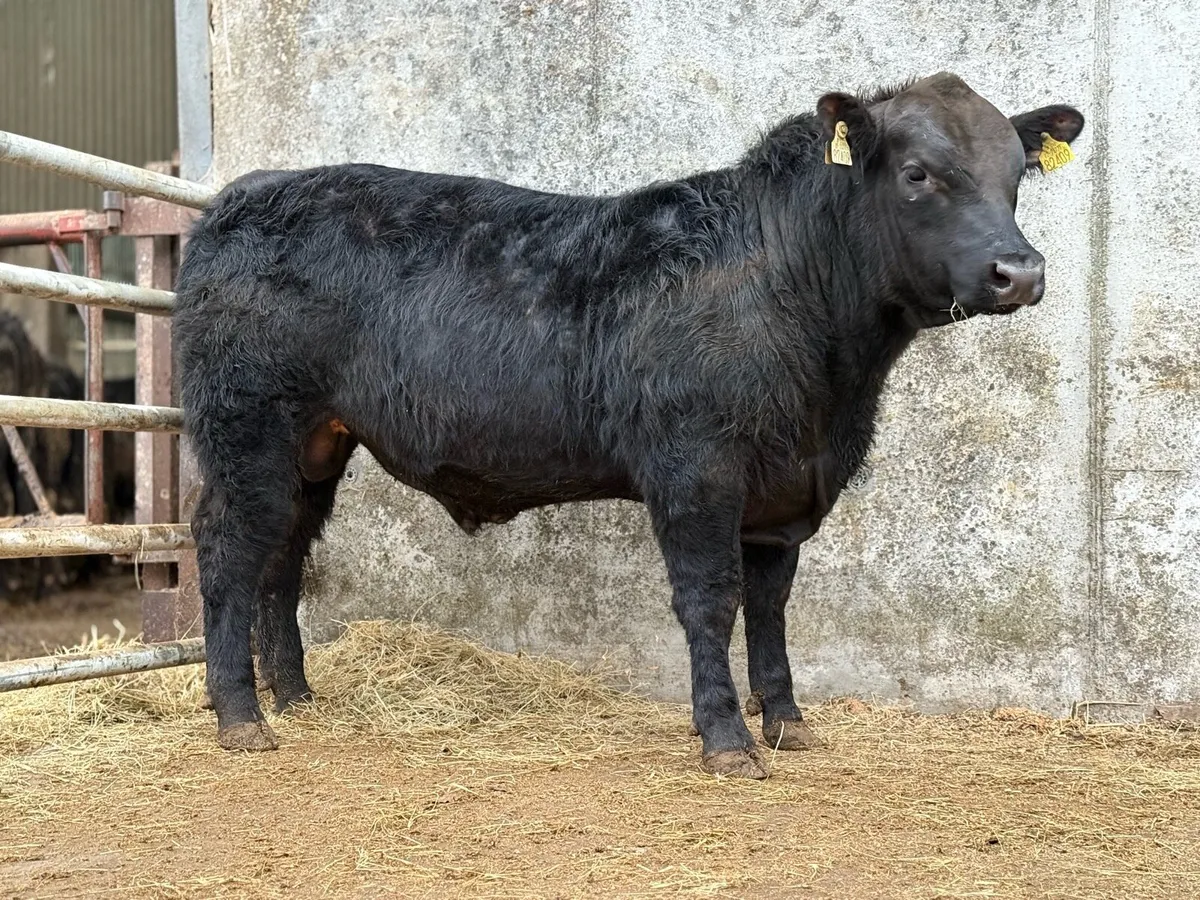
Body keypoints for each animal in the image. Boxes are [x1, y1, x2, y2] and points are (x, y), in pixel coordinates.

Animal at [174, 72, 1084, 778]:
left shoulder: (785, 489)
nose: (1020, 271)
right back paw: (241, 716)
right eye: (920, 174)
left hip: (316, 443)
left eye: (1017, 173)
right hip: (245, 425)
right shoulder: (696, 468)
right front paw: (726, 739)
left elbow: (771, 605)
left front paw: (787, 723)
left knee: (284, 551)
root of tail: (241, 195)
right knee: (229, 549)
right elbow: (712, 600)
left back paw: (295, 694)